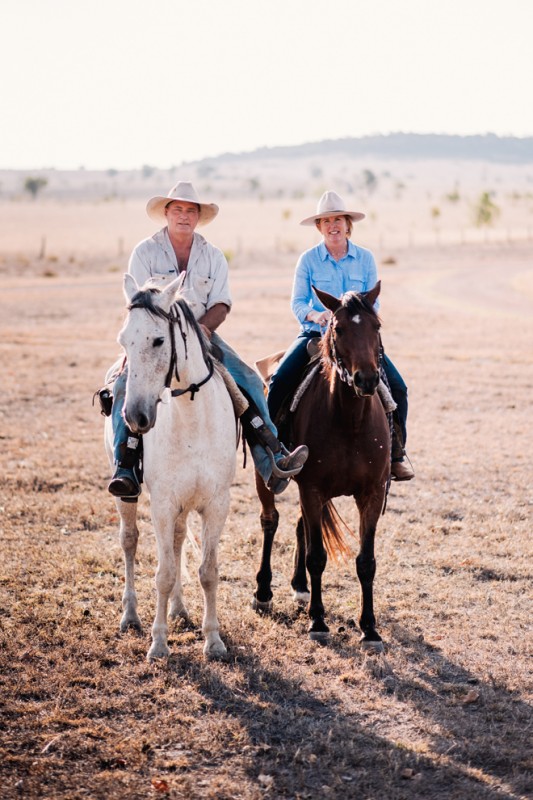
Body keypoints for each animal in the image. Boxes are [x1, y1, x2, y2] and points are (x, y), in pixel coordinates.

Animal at [104, 272, 235, 660]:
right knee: (129, 541)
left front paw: (214, 640)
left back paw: (179, 609)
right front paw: (159, 643)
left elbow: (207, 571)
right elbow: (162, 573)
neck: (192, 418)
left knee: (177, 545)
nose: (135, 417)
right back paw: (131, 616)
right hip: (128, 497)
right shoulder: (161, 504)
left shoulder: (215, 505)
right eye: (124, 340)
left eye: (159, 339)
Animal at [251, 282, 388, 648]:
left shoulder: (370, 494)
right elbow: (317, 557)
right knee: (270, 521)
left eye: (377, 326)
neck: (349, 420)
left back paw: (299, 587)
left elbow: (366, 561)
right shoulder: (312, 489)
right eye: (337, 328)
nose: (366, 380)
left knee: (301, 527)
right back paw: (263, 592)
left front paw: (369, 628)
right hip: (266, 475)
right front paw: (318, 621)